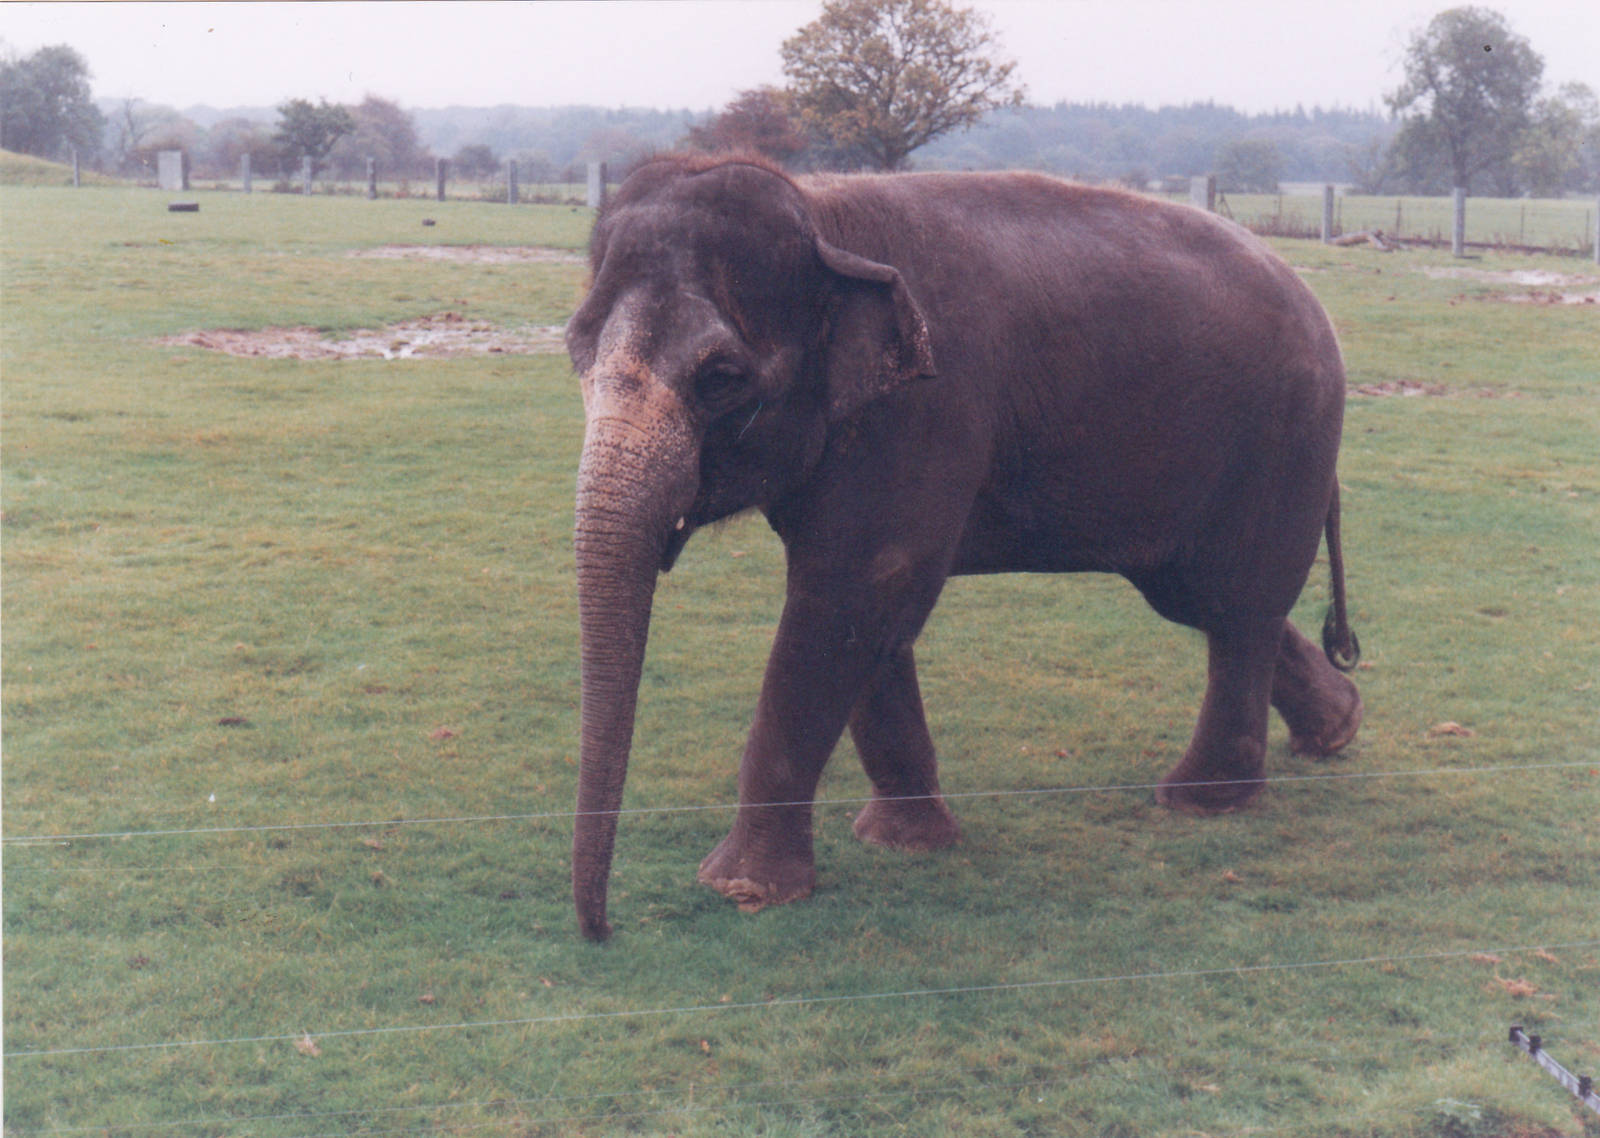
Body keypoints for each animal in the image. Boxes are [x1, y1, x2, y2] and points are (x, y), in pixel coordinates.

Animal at [564, 152, 1362, 942]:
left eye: (721, 377)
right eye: (576, 351)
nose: (602, 931)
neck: (823, 219)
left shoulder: (924, 410)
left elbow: (851, 594)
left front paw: (743, 889)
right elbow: (873, 620)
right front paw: (905, 841)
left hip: (1284, 438)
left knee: (1237, 606)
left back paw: (1200, 800)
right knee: (1201, 597)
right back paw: (1335, 731)